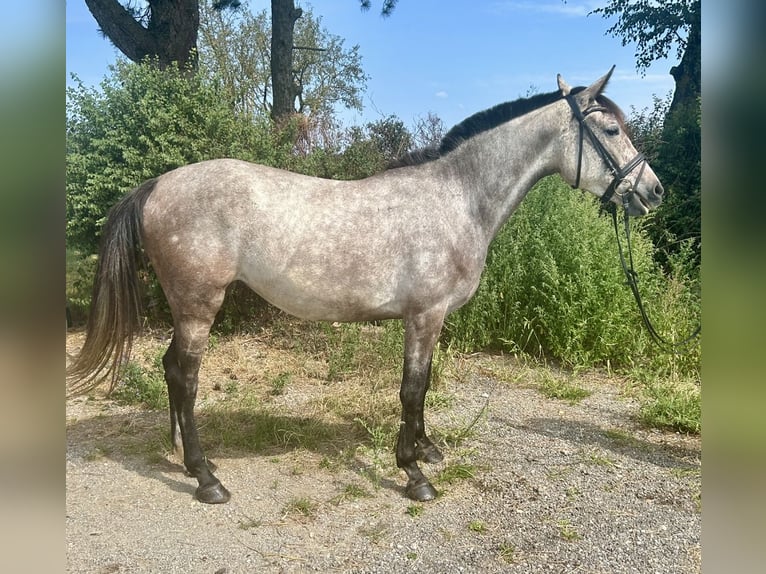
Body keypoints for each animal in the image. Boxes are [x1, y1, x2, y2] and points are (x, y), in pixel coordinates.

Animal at [67, 70, 664, 506]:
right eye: (612, 131)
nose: (652, 191)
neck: (456, 198)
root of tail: (155, 185)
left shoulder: (432, 319)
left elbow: (424, 386)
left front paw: (427, 449)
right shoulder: (423, 315)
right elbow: (412, 388)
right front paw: (414, 476)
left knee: (171, 370)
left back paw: (189, 457)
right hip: (198, 304)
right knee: (185, 376)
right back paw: (206, 480)